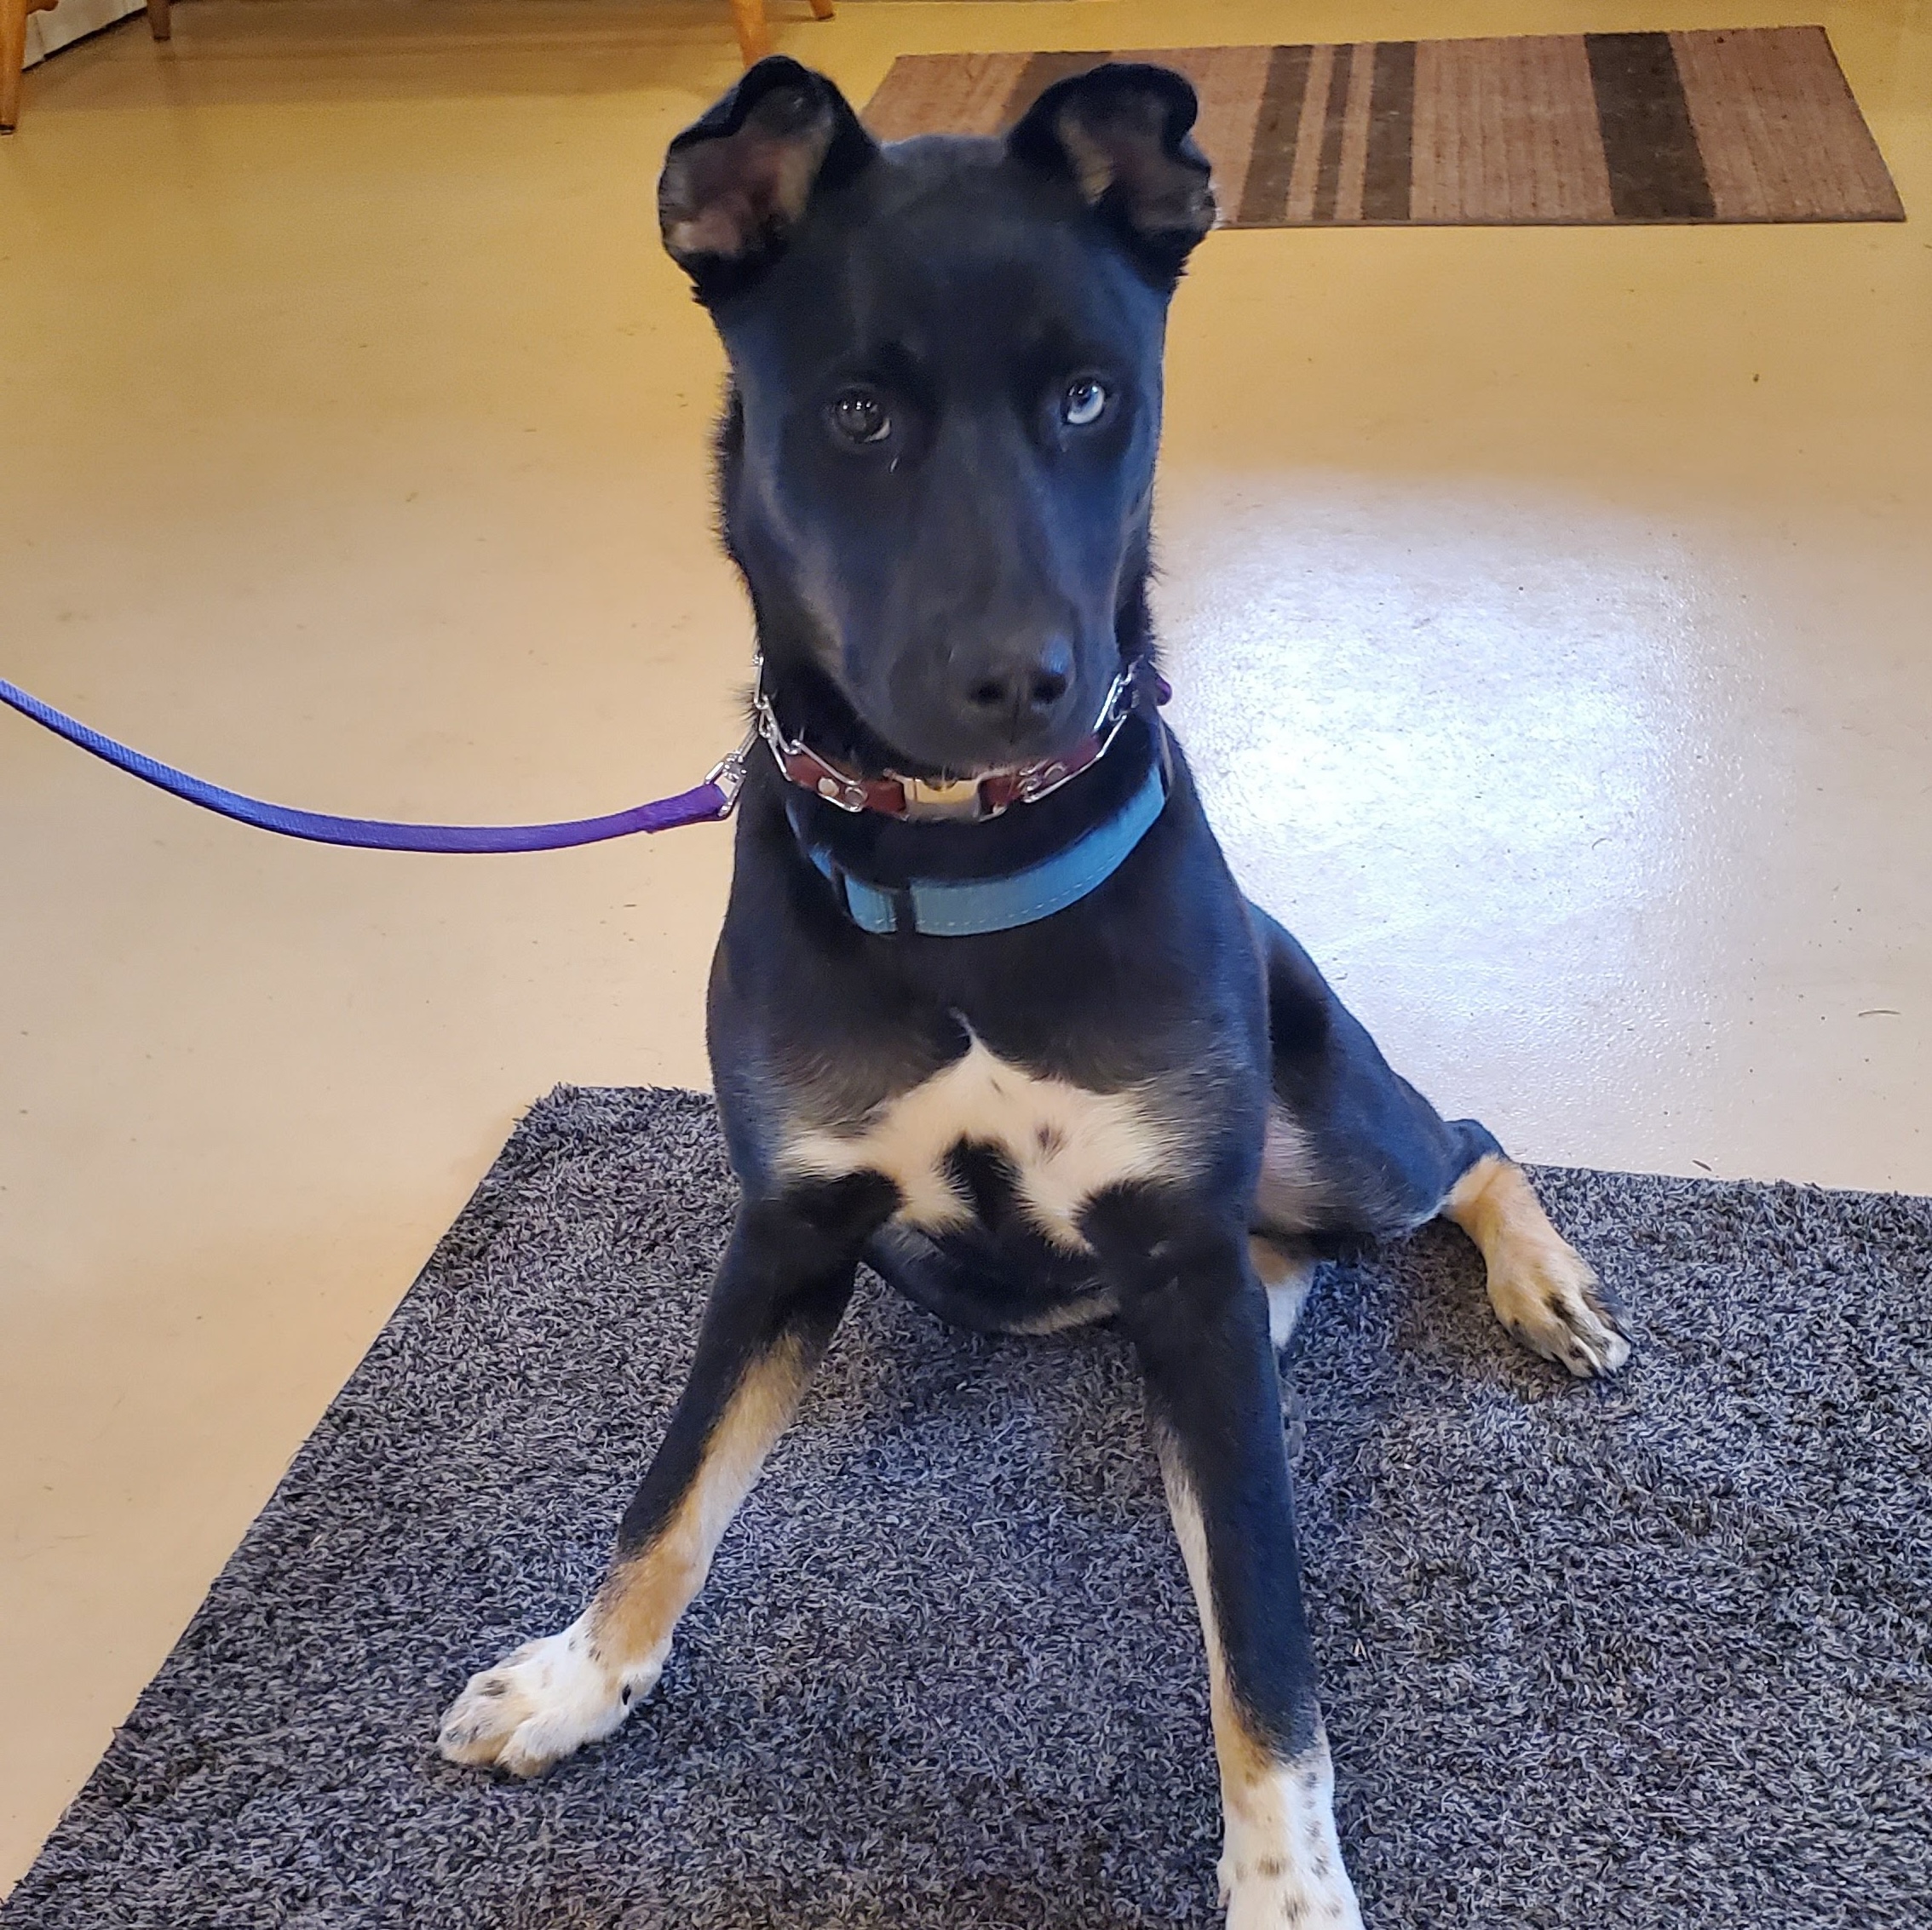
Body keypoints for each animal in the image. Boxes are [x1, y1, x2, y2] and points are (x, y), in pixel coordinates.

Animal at [442, 56, 1630, 1916]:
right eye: (856, 415)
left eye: (1089, 395)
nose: (1022, 679)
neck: (956, 865)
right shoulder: (791, 1220)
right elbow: (673, 1485)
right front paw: (579, 1676)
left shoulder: (1176, 1259)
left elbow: (1264, 1650)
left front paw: (1286, 1882)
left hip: (1326, 1132)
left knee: (1460, 1146)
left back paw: (1540, 1281)